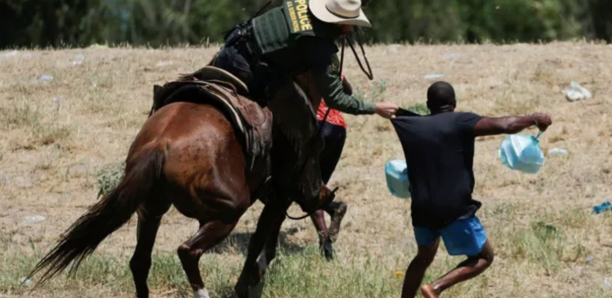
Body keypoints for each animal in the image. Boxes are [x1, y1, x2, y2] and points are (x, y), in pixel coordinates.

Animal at [23, 67, 334, 298]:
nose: (323, 195)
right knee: (188, 251)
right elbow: (260, 240)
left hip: (151, 211)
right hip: (228, 212)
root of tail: (159, 145)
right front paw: (248, 283)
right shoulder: (282, 193)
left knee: (140, 262)